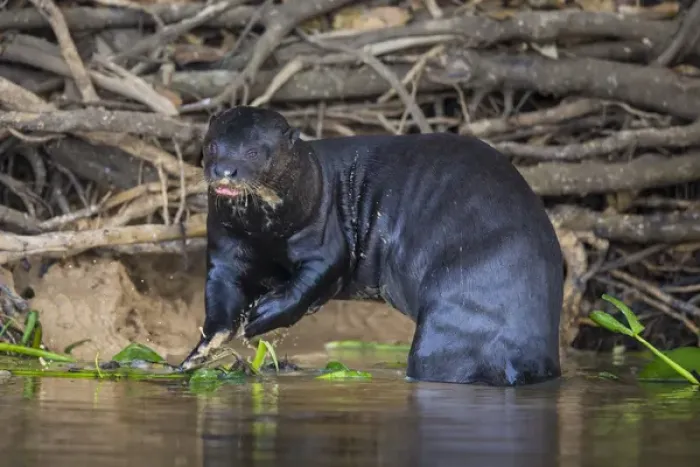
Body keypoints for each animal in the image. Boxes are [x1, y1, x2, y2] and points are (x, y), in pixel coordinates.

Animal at [179, 106, 564, 386]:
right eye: (212, 146)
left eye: (254, 152)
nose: (224, 171)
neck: (266, 234)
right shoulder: (226, 249)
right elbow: (221, 296)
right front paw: (198, 352)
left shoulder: (323, 233)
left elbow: (318, 275)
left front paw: (263, 315)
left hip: (458, 321)